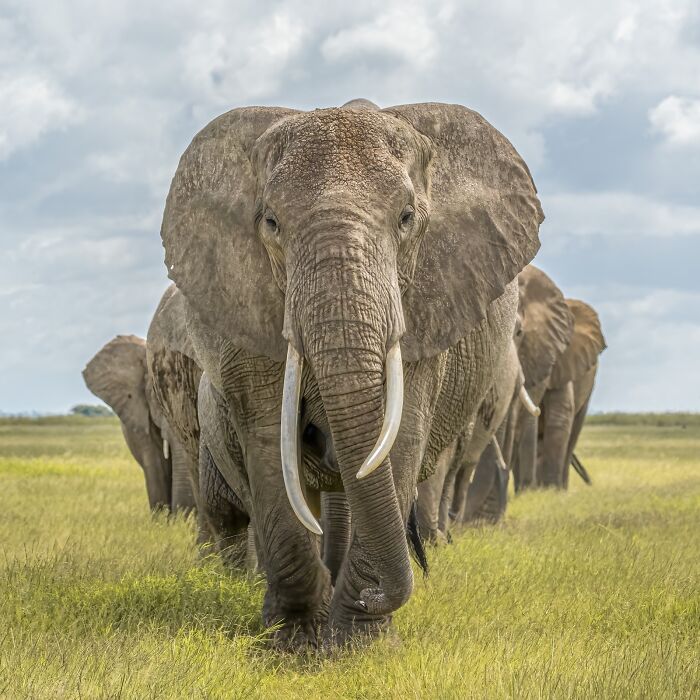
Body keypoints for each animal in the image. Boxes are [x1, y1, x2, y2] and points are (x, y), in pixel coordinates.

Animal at [159, 100, 543, 646]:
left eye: (407, 218)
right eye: (270, 222)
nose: (378, 594)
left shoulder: (426, 306)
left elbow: (400, 437)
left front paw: (359, 646)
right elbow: (267, 441)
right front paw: (295, 643)